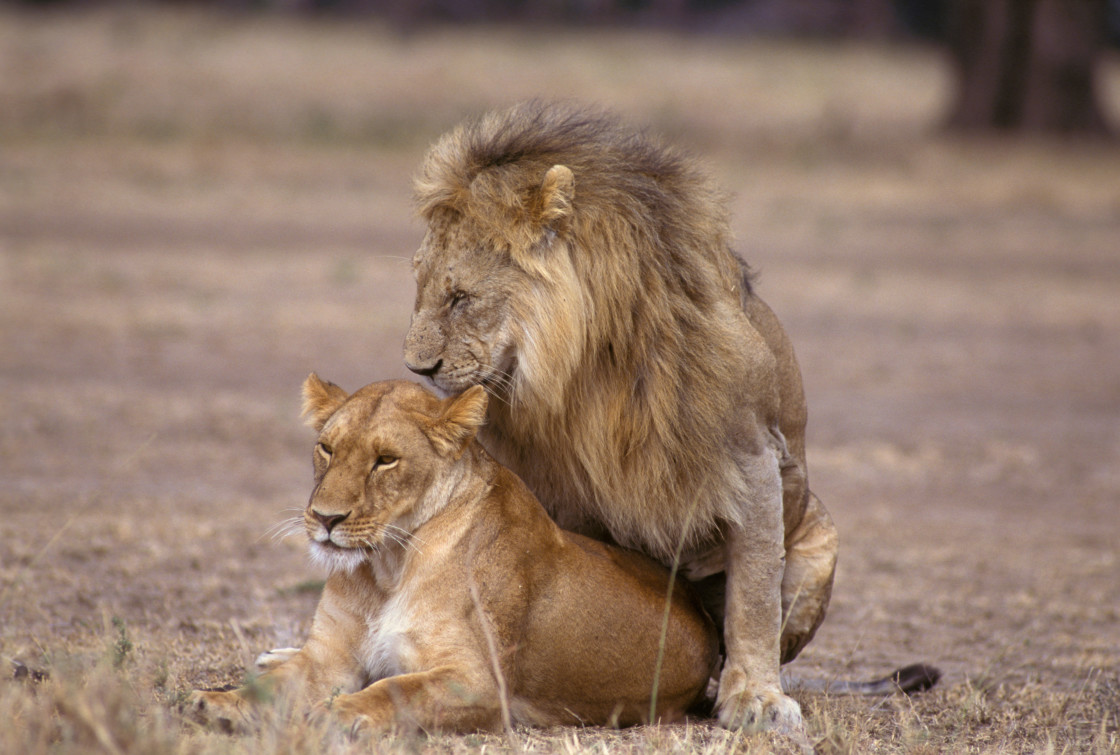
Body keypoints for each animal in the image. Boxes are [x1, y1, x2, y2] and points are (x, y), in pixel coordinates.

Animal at [190, 376, 716, 730]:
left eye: (386, 460)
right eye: (326, 448)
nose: (325, 518)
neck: (389, 564)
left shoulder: (479, 683)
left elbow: (397, 687)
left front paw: (340, 711)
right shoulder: (330, 657)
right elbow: (277, 686)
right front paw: (218, 701)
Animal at [403, 99, 842, 730]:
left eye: (461, 297)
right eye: (419, 291)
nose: (416, 367)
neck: (593, 364)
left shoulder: (752, 457)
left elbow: (754, 595)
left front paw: (757, 698)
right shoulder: (566, 491)